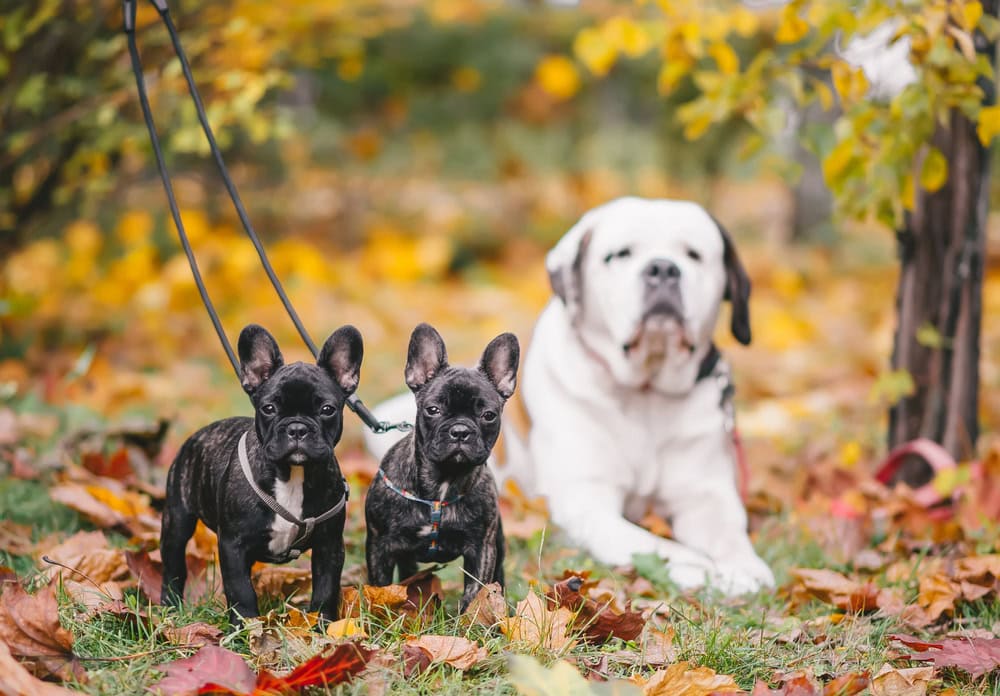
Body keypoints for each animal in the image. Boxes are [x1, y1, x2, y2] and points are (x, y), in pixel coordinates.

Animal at [156, 324, 360, 624]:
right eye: (269, 408)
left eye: (327, 410)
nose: (297, 428)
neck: (292, 475)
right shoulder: (233, 545)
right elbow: (240, 589)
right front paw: (246, 625)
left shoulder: (330, 545)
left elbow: (326, 587)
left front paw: (323, 625)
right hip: (177, 520)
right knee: (173, 564)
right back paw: (169, 606)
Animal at [366, 324, 520, 612]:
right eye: (433, 410)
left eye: (489, 415)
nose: (460, 430)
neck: (444, 481)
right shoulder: (380, 545)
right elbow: (380, 587)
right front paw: (381, 614)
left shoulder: (481, 550)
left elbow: (475, 592)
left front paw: (470, 618)